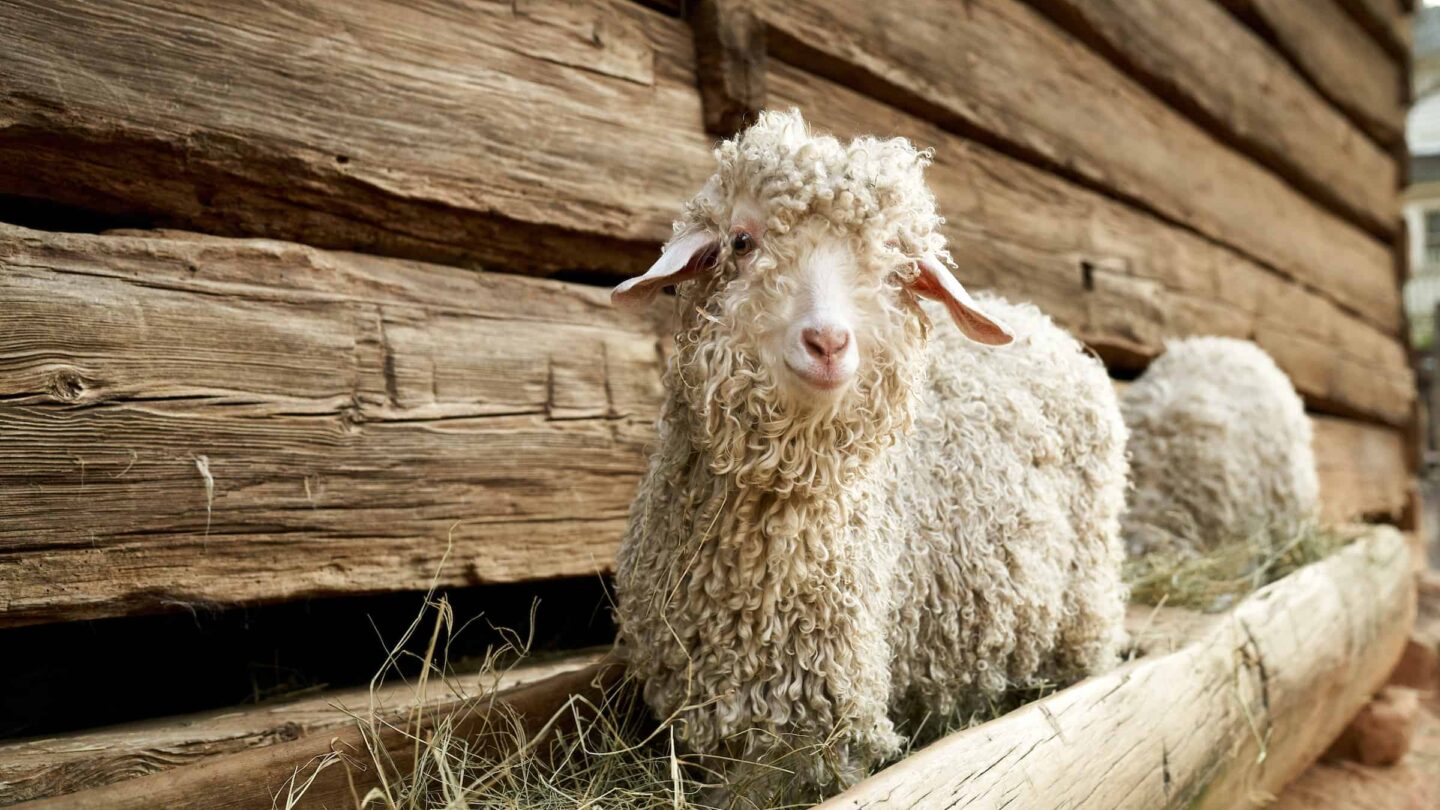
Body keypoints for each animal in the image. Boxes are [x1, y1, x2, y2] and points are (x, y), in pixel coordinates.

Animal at [607, 110, 1123, 795]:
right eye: (742, 242)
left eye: (896, 265)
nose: (828, 342)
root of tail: (1043, 323)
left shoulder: (818, 727)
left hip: (1087, 591)